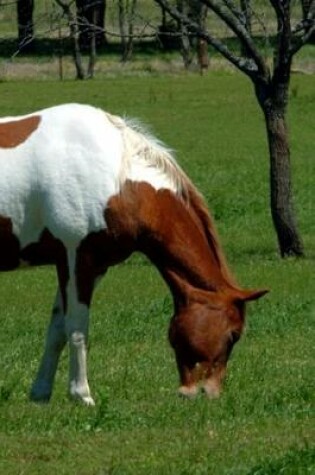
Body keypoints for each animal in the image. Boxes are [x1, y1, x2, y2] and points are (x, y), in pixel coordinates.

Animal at [0, 104, 268, 406]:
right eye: (234, 335)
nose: (205, 393)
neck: (118, 179)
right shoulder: (77, 260)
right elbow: (77, 329)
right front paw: (82, 395)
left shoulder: (87, 266)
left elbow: (57, 330)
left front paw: (41, 394)